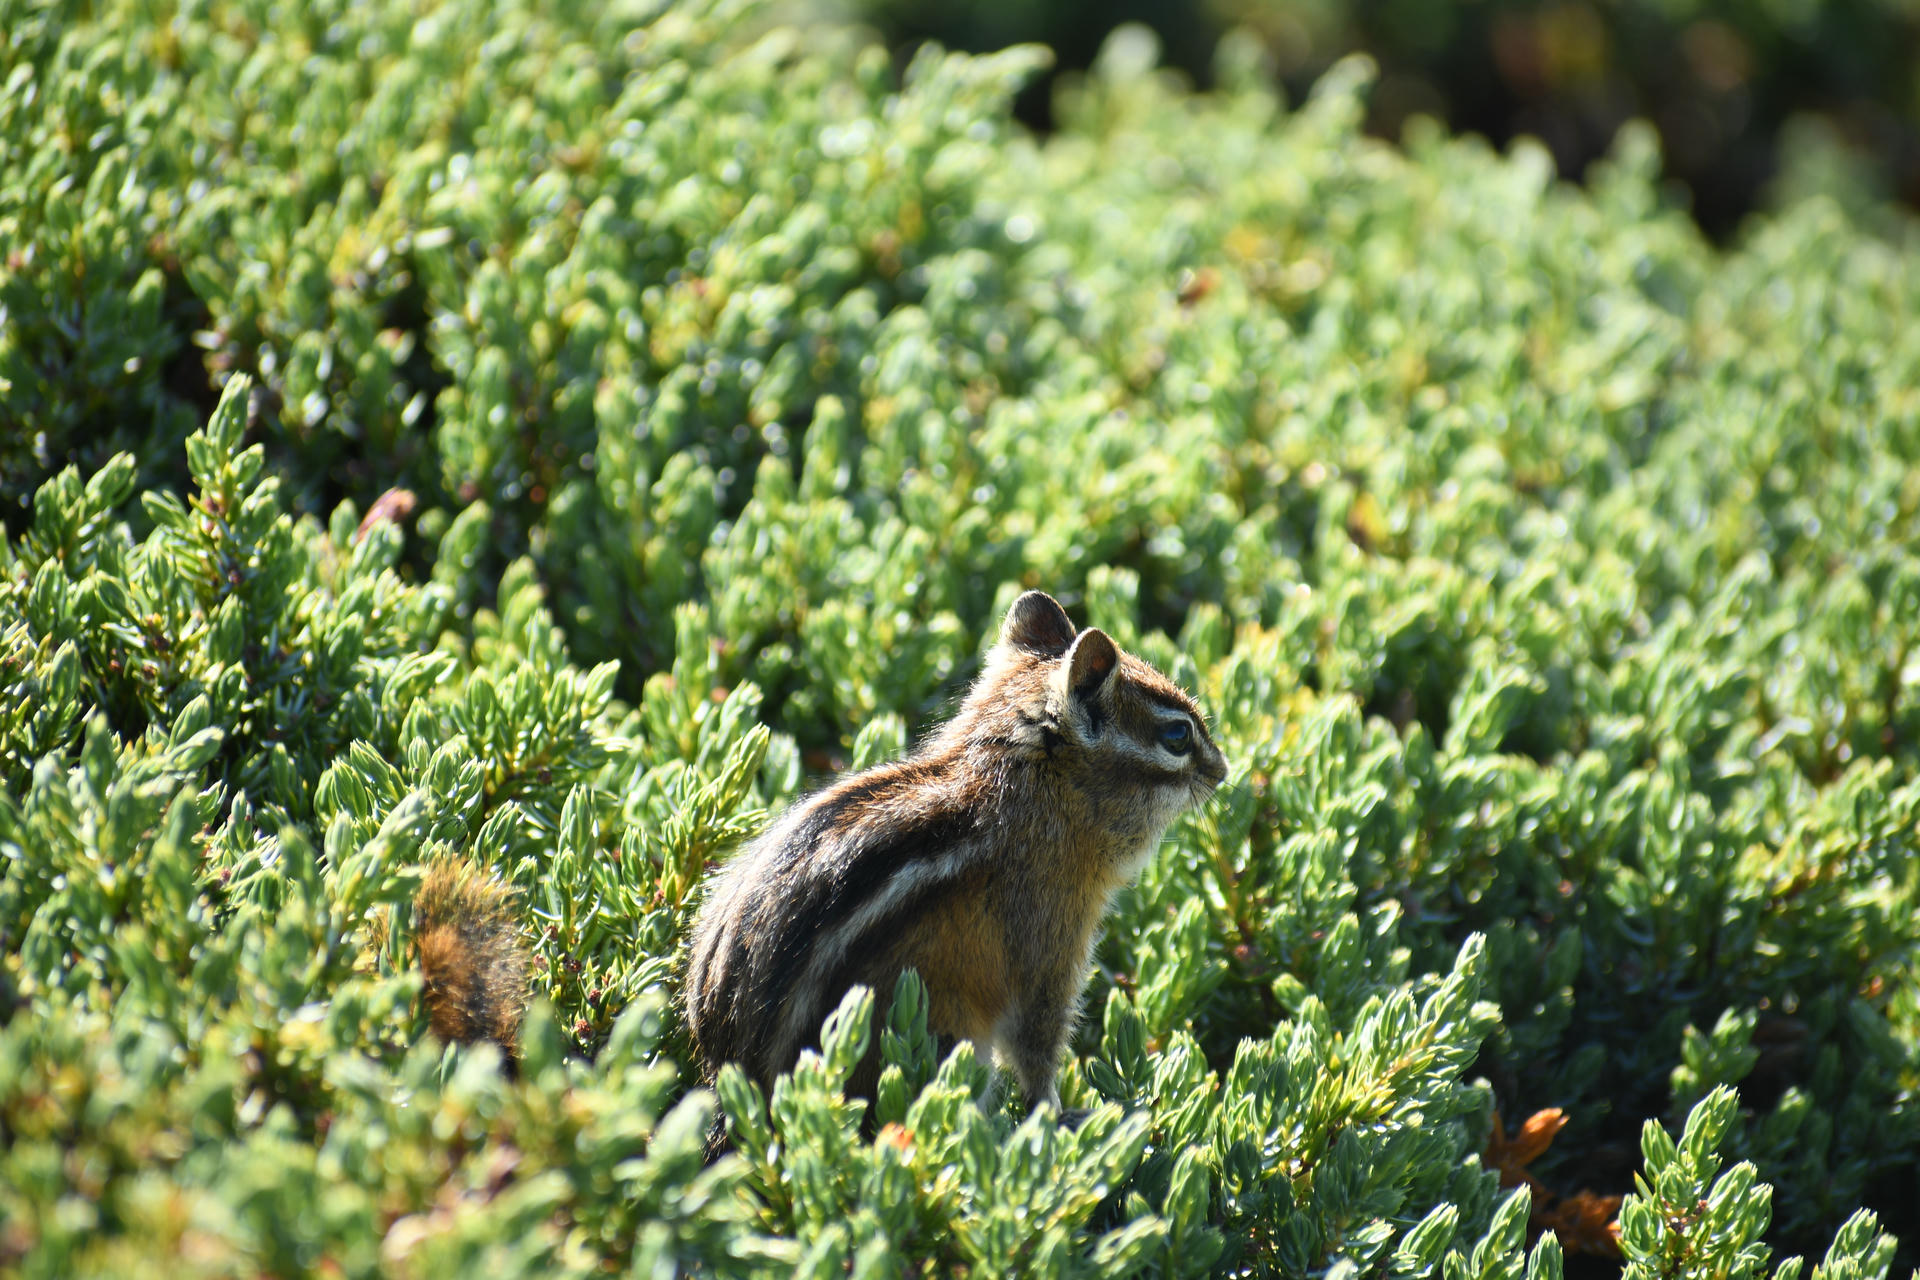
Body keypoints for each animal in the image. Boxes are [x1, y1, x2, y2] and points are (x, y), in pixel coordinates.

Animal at [684, 589, 1228, 1114]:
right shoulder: (1049, 941)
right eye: (1178, 735)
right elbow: (1037, 1044)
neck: (1033, 790)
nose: (1223, 771)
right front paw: (1059, 1113)